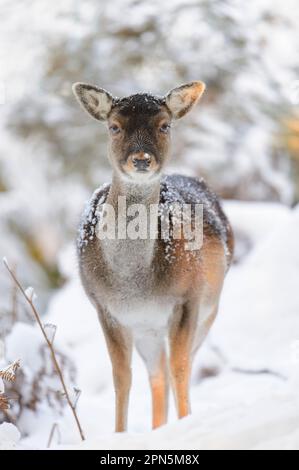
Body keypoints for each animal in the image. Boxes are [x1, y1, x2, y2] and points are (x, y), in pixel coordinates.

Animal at [72, 81, 234, 434]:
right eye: (114, 126)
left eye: (164, 125)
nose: (142, 159)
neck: (135, 285)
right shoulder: (105, 308)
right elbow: (122, 378)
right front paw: (119, 435)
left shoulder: (187, 298)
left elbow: (181, 368)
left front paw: (186, 424)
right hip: (148, 329)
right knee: (156, 375)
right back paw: (158, 428)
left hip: (208, 311)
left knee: (176, 368)